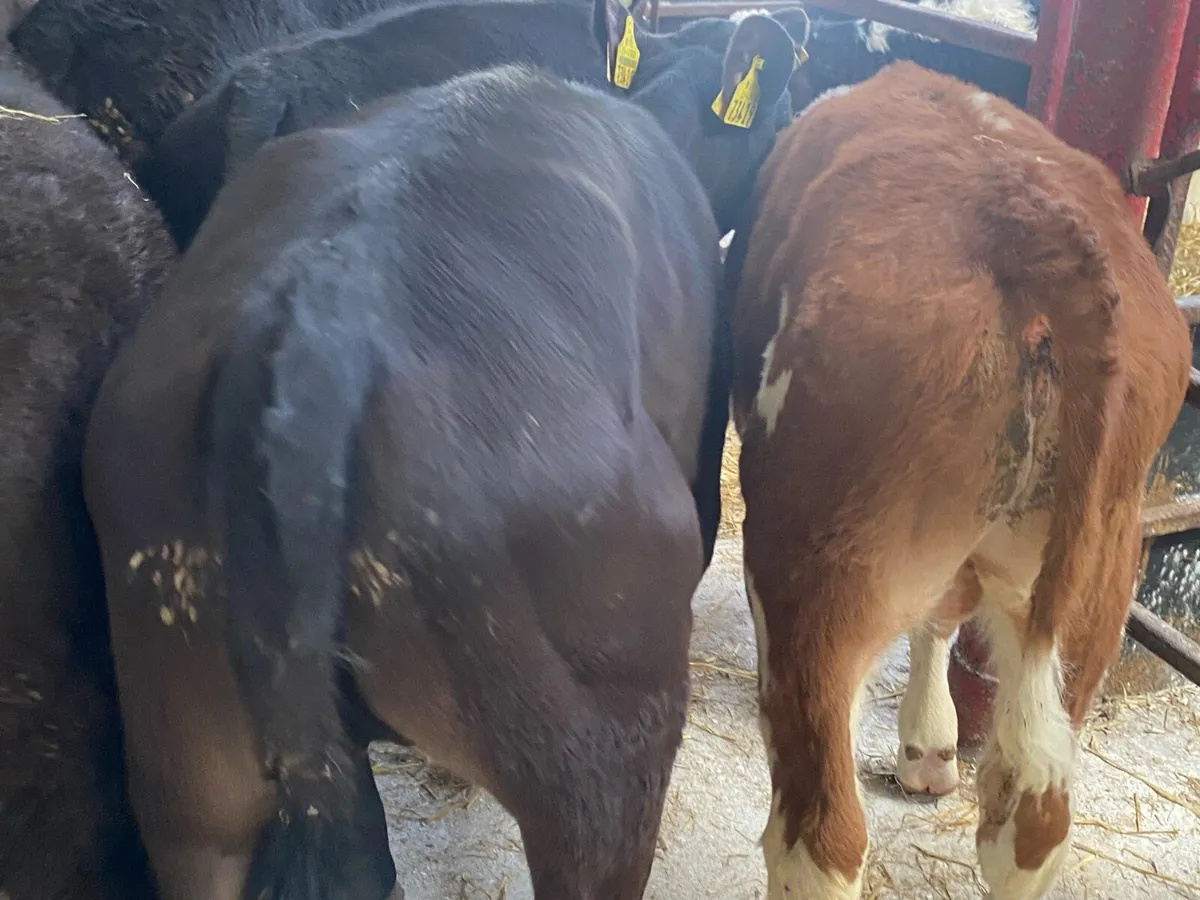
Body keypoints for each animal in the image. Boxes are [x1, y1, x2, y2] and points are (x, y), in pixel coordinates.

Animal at [728, 62, 1191, 900]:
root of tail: (1025, 210)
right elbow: (941, 615)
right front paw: (929, 749)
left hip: (808, 571)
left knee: (821, 836)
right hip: (1099, 578)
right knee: (1030, 822)